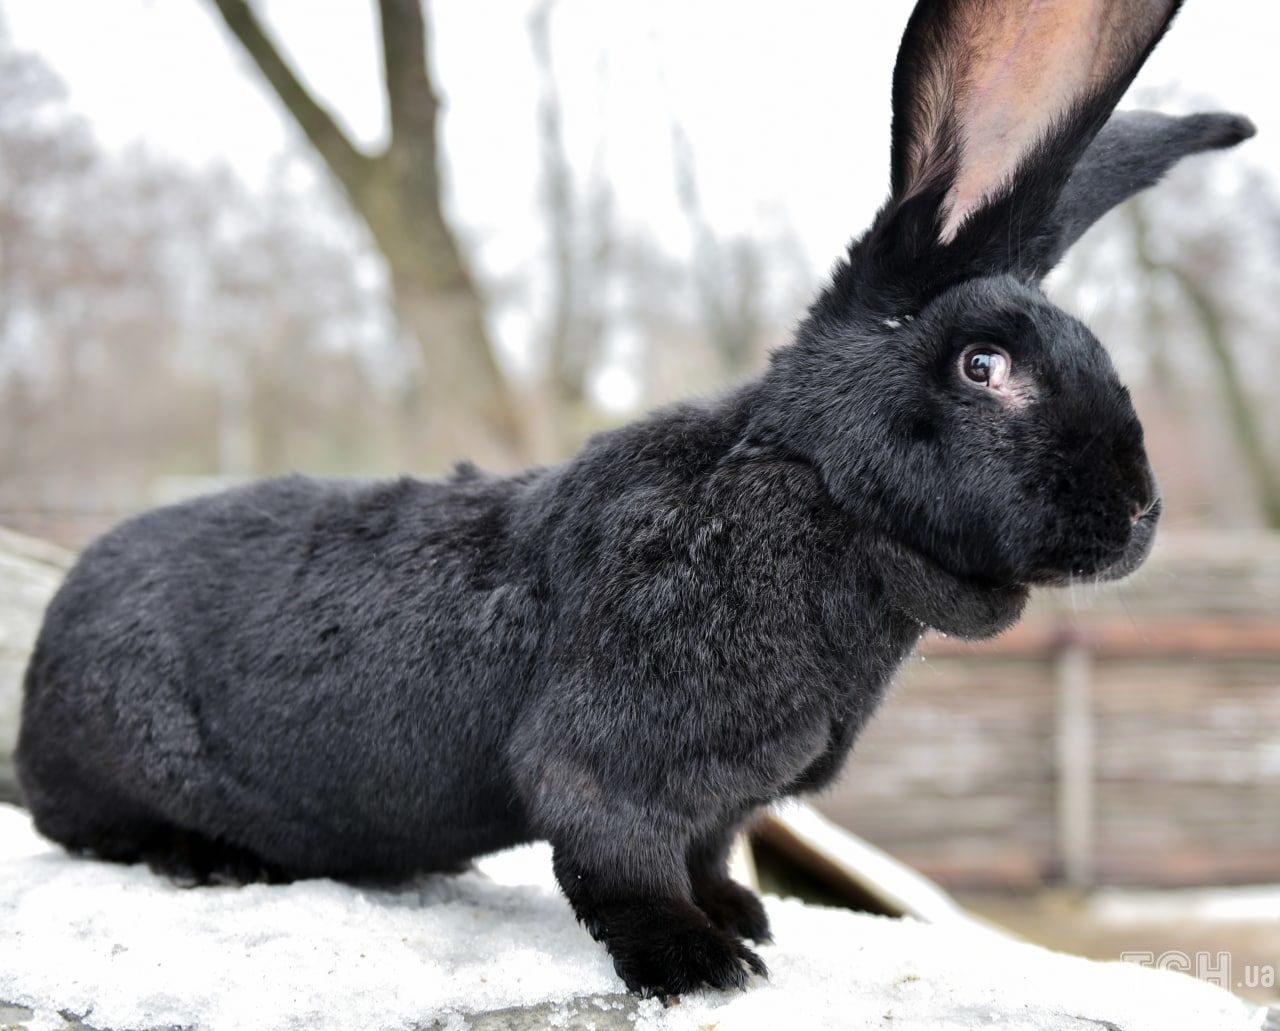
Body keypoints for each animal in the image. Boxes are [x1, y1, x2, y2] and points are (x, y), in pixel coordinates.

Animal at [17, 0, 1249, 1004]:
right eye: (982, 366)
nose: (1140, 511)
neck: (811, 492)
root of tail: (39, 677)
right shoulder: (614, 761)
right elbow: (619, 861)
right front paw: (701, 963)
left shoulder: (722, 803)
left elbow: (707, 853)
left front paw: (742, 918)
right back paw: (210, 856)